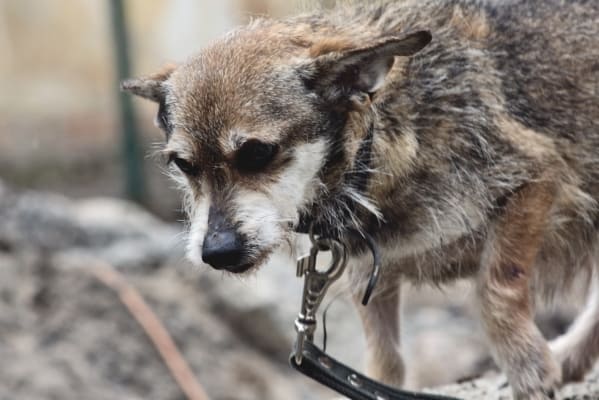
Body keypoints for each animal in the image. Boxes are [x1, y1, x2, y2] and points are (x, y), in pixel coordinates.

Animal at [122, 0, 599, 398]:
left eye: (258, 153)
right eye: (183, 165)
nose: (216, 252)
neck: (378, 141)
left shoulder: (534, 178)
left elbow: (497, 285)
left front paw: (526, 365)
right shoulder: (367, 270)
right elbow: (383, 357)